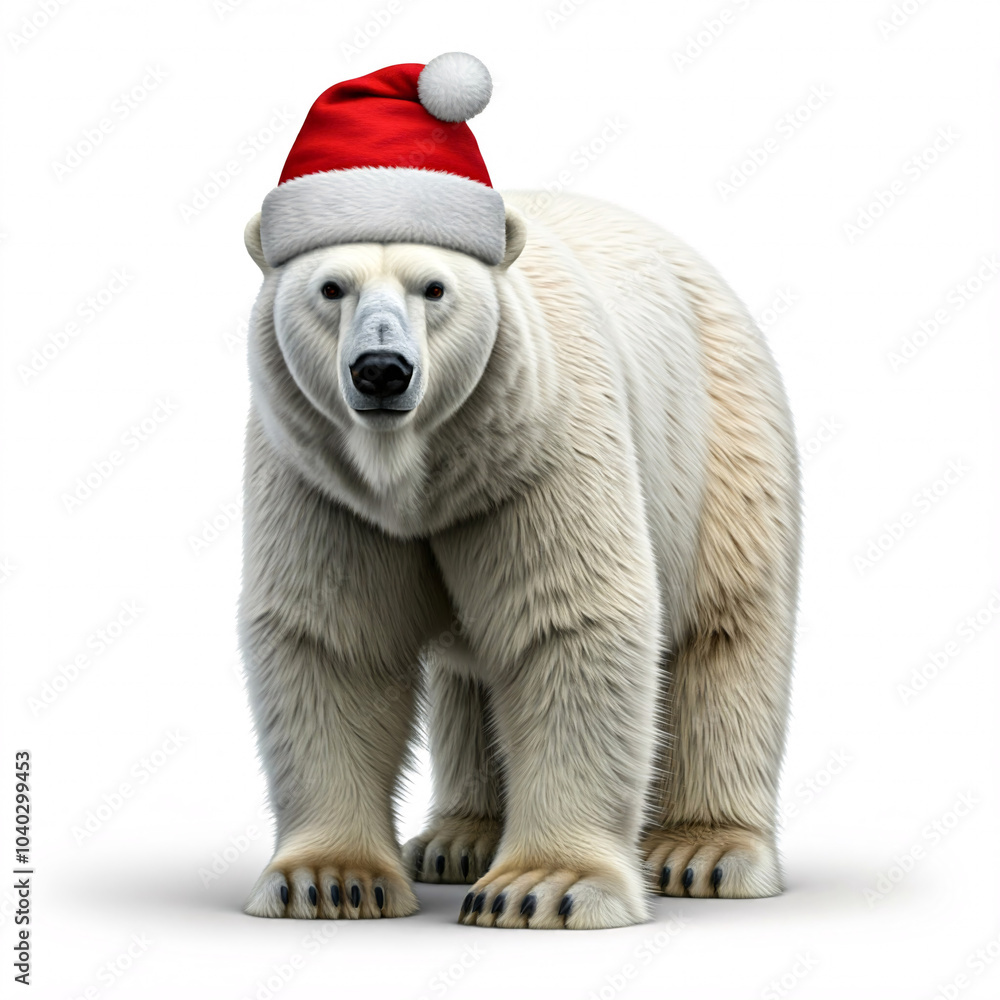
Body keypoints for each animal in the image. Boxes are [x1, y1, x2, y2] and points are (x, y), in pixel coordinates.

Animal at [238, 52, 800, 929]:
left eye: (434, 288)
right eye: (330, 288)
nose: (381, 370)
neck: (425, 469)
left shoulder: (543, 449)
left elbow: (567, 625)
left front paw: (544, 886)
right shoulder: (320, 479)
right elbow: (335, 637)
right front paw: (330, 880)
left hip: (722, 436)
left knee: (727, 626)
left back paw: (703, 851)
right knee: (468, 676)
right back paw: (456, 837)